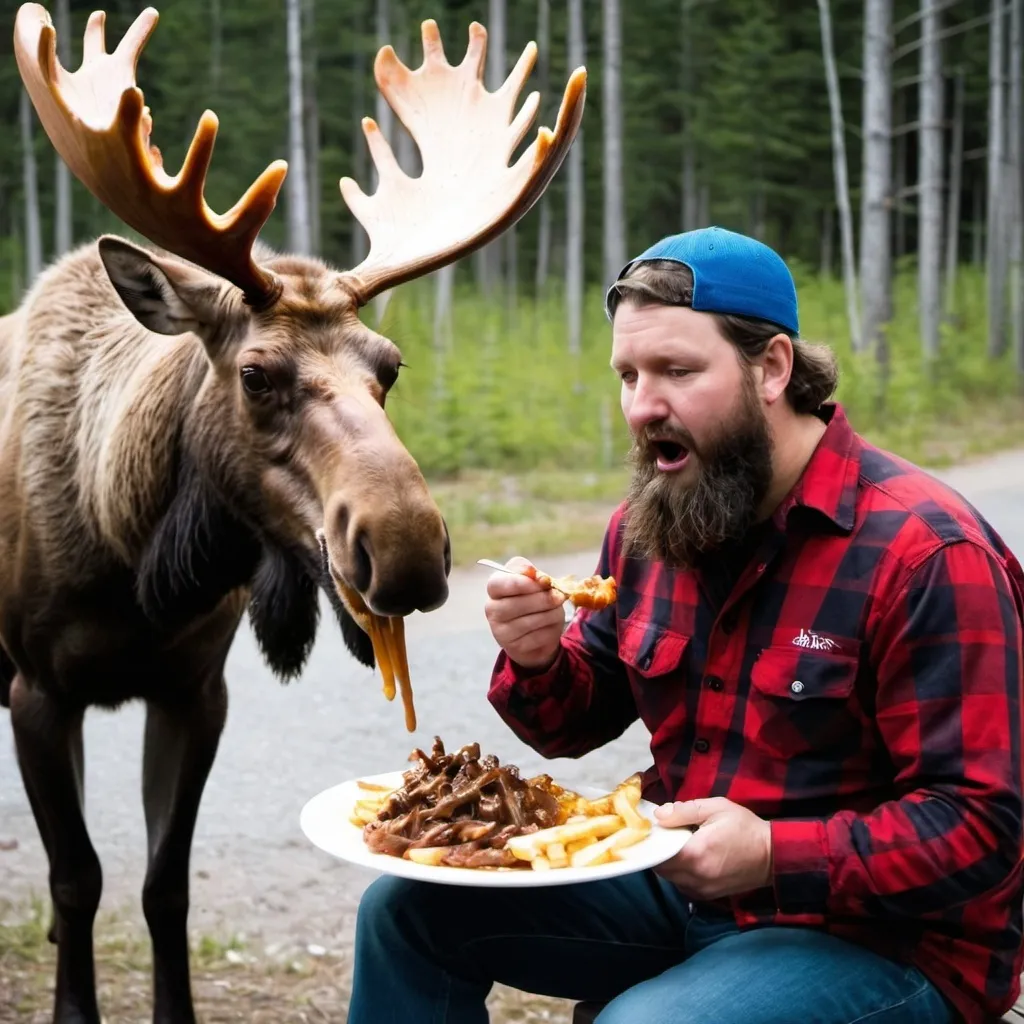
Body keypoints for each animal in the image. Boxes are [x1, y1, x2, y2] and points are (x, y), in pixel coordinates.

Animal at [0, 8, 585, 1024]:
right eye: (254, 373)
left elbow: (164, 884)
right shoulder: (36, 689)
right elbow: (76, 879)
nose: (407, 550)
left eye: (390, 365)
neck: (137, 559)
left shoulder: (196, 690)